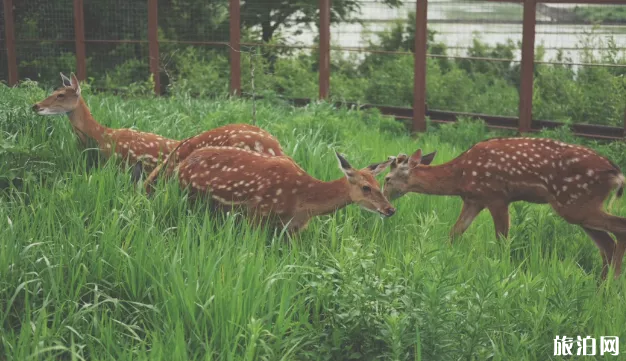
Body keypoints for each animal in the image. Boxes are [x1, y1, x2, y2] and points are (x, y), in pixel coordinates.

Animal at [169, 146, 394, 233]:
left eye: (380, 185)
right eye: (366, 187)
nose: (390, 209)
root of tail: (181, 165)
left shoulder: (293, 228)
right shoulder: (256, 213)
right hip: (191, 196)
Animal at [380, 136, 624, 280]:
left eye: (387, 179)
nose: (387, 207)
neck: (460, 175)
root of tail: (616, 173)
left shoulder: (497, 196)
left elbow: (503, 240)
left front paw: (502, 274)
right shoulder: (474, 200)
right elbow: (454, 232)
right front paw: (442, 263)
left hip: (575, 202)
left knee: (619, 229)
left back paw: (611, 287)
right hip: (580, 208)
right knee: (607, 244)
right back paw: (601, 288)